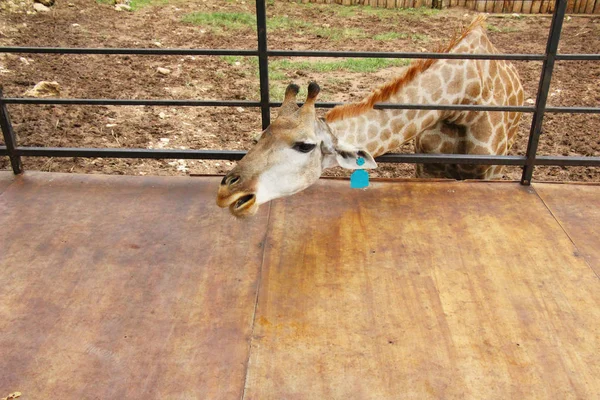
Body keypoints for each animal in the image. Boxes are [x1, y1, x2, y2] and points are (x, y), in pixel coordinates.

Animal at [217, 15, 524, 217]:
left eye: (304, 146)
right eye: (260, 136)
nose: (226, 192)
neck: (462, 100)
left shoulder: (487, 173)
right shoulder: (426, 167)